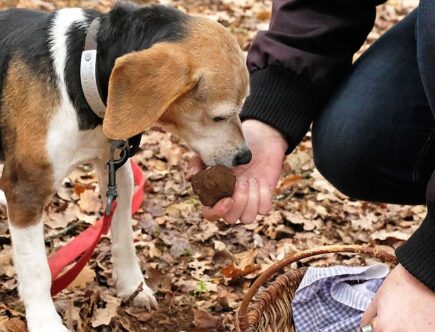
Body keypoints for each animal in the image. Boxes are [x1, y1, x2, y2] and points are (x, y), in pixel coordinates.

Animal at [0, 3, 250, 332]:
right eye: (219, 116)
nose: (246, 157)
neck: (81, 69)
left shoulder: (116, 171)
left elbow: (124, 238)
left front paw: (132, 286)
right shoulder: (26, 189)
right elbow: (37, 270)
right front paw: (45, 321)